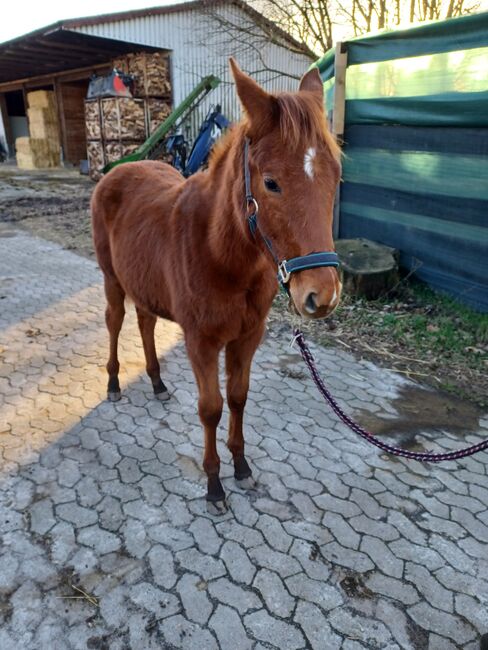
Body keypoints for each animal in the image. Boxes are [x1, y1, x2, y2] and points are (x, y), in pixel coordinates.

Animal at [92, 58, 344, 508]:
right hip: (112, 281)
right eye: (271, 182)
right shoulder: (201, 341)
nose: (322, 295)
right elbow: (210, 407)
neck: (221, 253)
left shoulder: (247, 337)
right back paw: (114, 382)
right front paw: (213, 483)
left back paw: (156, 382)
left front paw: (241, 466)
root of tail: (118, 170)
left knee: (145, 322)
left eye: (336, 176)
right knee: (116, 322)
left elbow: (238, 398)